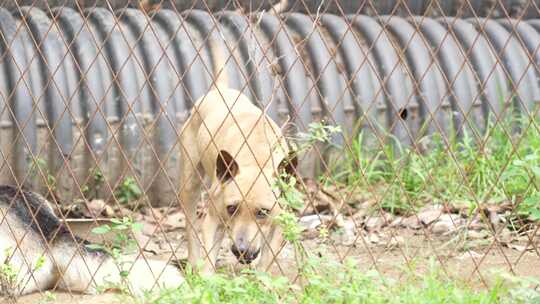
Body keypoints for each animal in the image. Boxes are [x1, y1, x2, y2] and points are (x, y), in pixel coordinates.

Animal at [179, 87, 296, 274]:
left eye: (263, 212)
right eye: (231, 208)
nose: (242, 250)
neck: (256, 159)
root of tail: (220, 88)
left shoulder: (279, 223)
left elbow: (266, 261)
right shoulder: (212, 220)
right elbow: (208, 262)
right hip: (190, 184)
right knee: (190, 226)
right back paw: (192, 263)